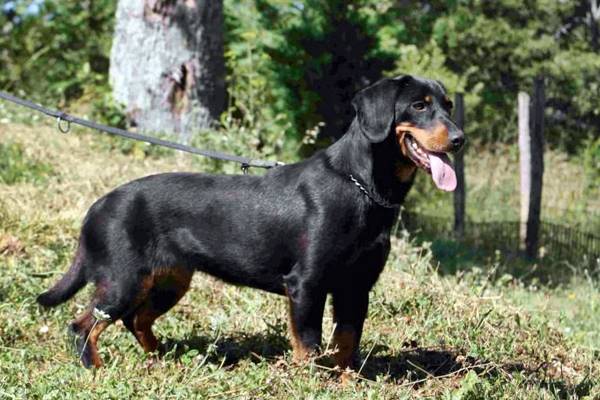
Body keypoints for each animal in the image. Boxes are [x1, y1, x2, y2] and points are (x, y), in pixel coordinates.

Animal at [37, 76, 464, 372]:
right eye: (419, 105)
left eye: (448, 105)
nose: (460, 138)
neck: (361, 186)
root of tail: (96, 207)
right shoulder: (306, 284)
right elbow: (309, 345)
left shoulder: (356, 286)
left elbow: (346, 344)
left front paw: (346, 384)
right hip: (123, 279)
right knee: (84, 325)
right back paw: (97, 371)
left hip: (170, 280)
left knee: (136, 320)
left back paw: (161, 360)